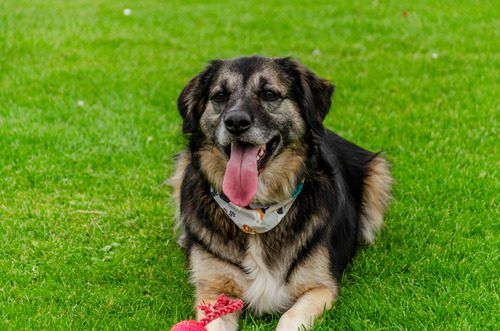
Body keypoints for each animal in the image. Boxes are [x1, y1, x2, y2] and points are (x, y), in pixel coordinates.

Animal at [170, 55, 392, 330]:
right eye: (220, 95)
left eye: (269, 94)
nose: (235, 122)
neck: (256, 212)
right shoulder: (211, 289)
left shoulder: (321, 287)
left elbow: (290, 316)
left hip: (379, 173)